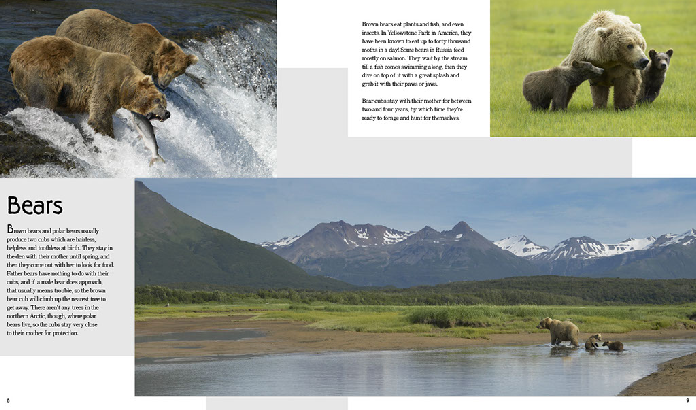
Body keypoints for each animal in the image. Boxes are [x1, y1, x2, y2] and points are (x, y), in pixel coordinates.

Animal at [10, 35, 170, 138]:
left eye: (164, 103)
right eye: (158, 100)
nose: (167, 113)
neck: (123, 87)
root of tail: (14, 56)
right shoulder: (106, 81)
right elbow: (100, 116)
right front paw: (108, 134)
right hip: (42, 75)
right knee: (42, 100)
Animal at [56, 9, 198, 88]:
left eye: (177, 72)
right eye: (167, 66)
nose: (163, 84)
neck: (152, 56)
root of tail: (66, 20)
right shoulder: (137, 54)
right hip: (82, 36)